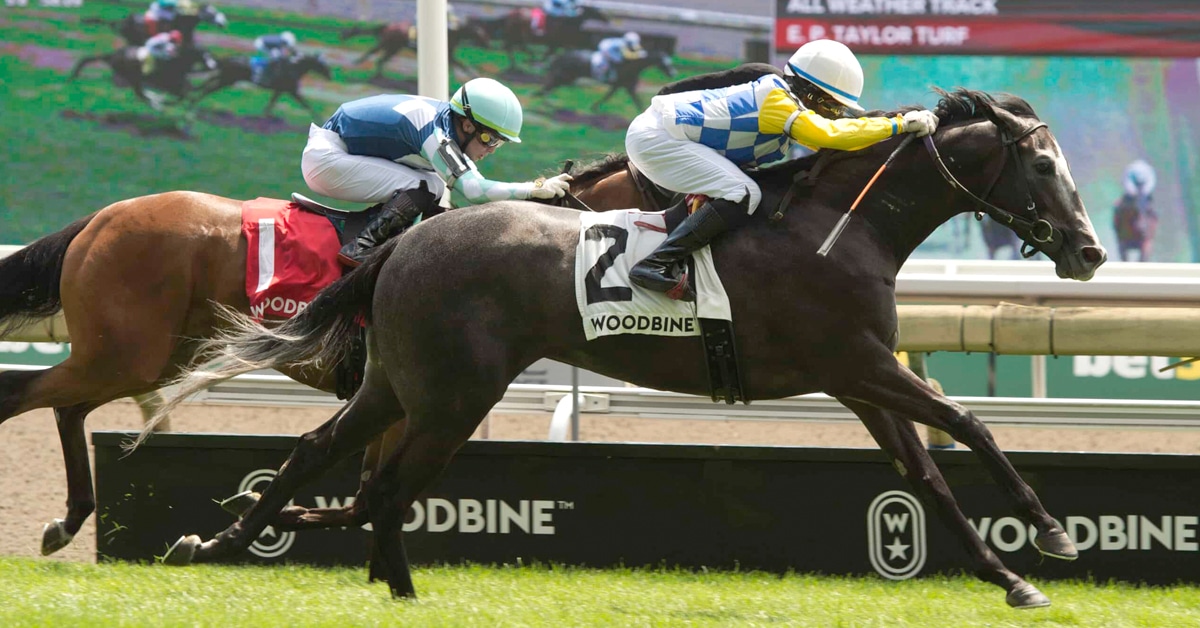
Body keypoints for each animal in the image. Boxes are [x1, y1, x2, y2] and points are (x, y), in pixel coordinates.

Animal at [150, 89, 1106, 609]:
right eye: (1043, 168)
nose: (1090, 252)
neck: (840, 225)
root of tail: (407, 239)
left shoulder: (864, 381)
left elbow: (926, 477)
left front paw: (1010, 577)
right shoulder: (856, 364)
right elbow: (972, 426)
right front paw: (1053, 534)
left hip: (400, 383)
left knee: (326, 456)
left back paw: (229, 539)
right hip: (453, 394)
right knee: (383, 486)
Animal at [188, 53, 332, 116]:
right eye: (323, 65)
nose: (330, 76)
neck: (292, 67)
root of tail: (229, 59)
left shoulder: (280, 90)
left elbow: (272, 102)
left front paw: (265, 115)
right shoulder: (292, 91)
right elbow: (305, 104)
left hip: (226, 79)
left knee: (207, 84)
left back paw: (193, 100)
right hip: (226, 80)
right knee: (208, 89)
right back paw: (193, 103)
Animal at [537, 49, 676, 111]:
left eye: (670, 62)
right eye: (665, 63)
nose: (673, 72)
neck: (630, 65)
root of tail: (559, 56)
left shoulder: (623, 86)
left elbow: (610, 96)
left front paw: (594, 106)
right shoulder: (623, 85)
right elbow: (635, 101)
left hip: (567, 77)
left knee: (550, 84)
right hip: (565, 76)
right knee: (550, 84)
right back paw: (545, 100)